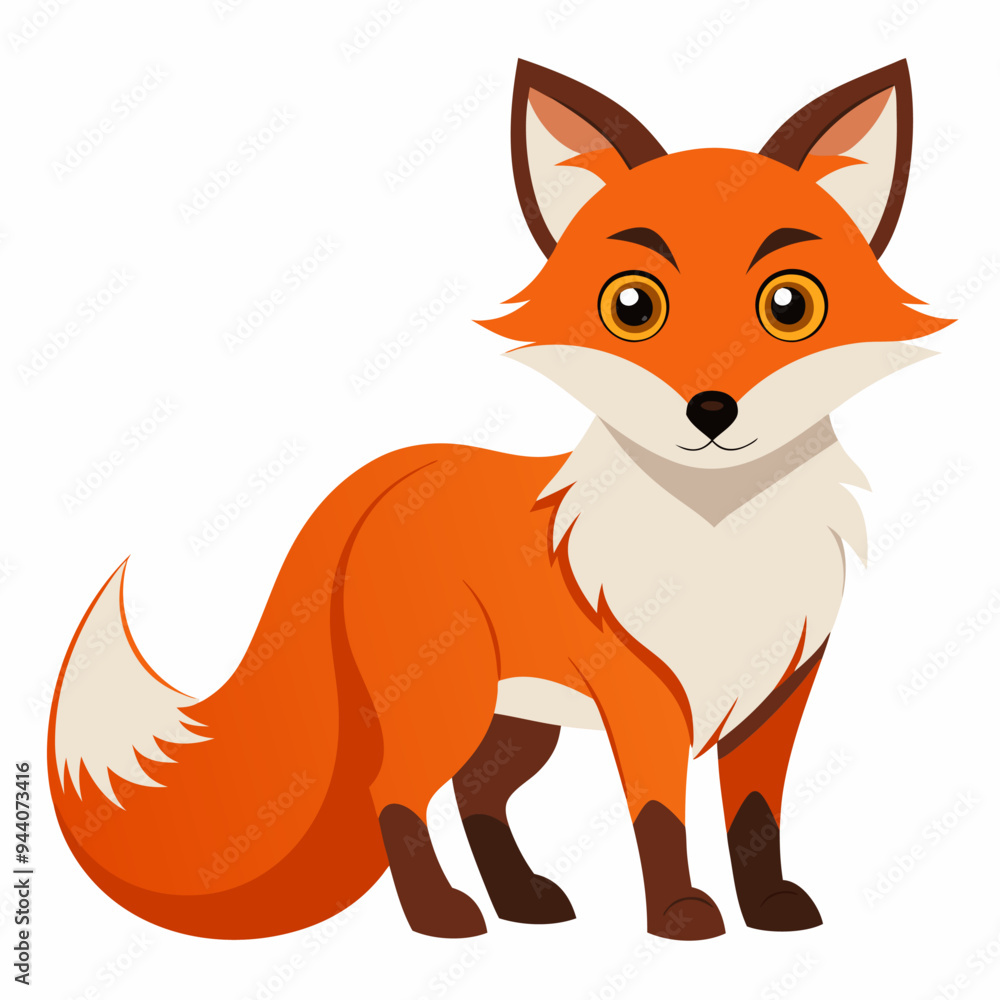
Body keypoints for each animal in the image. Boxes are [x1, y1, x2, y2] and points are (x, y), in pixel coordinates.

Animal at [48, 58, 950, 941]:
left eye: (790, 304)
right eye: (632, 305)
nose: (712, 409)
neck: (719, 537)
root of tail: (393, 476)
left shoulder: (780, 692)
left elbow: (755, 817)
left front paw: (768, 910)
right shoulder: (643, 694)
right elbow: (659, 817)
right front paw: (679, 916)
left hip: (515, 720)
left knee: (477, 792)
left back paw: (520, 901)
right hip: (449, 701)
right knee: (396, 791)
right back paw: (442, 915)